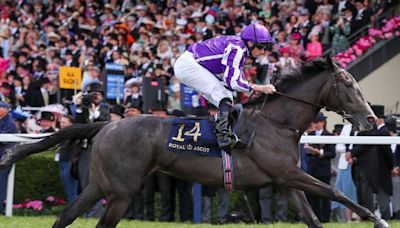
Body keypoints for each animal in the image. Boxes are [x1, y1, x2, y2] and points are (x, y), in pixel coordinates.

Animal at [0, 58, 388, 227]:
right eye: (349, 85)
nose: (372, 120)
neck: (278, 124)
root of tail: (105, 126)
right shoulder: (289, 175)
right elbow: (335, 192)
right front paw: (377, 219)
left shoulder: (285, 181)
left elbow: (315, 218)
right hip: (121, 192)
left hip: (99, 185)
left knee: (66, 214)